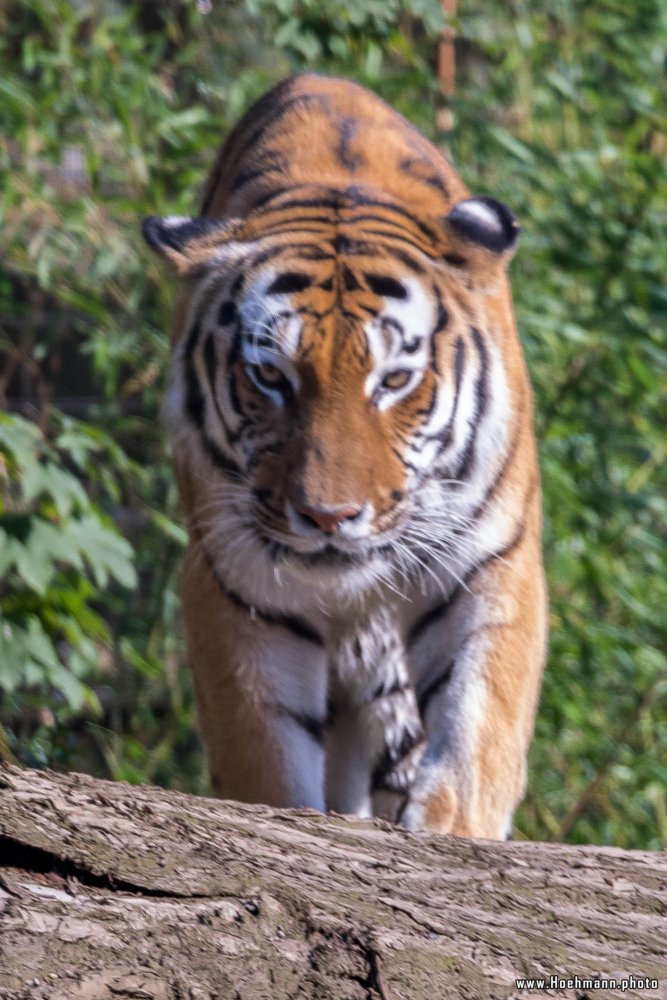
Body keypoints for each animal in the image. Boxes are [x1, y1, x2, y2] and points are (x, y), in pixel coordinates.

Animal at [142, 72, 548, 836]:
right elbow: (265, 754)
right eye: (271, 377)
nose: (329, 517)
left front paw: (452, 826)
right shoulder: (237, 585)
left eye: (393, 381)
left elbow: (480, 714)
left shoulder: (491, 558)